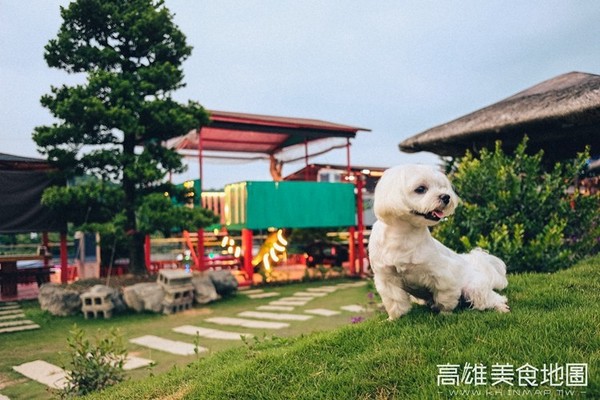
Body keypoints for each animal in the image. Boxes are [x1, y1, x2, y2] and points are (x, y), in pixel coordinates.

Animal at [368, 165, 508, 318]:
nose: (446, 196)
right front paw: (394, 318)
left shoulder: (442, 274)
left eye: (442, 187)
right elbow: (395, 302)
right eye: (420, 189)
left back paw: (501, 307)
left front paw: (444, 313)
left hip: (474, 288)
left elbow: (445, 297)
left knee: (492, 298)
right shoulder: (386, 278)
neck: (403, 236)